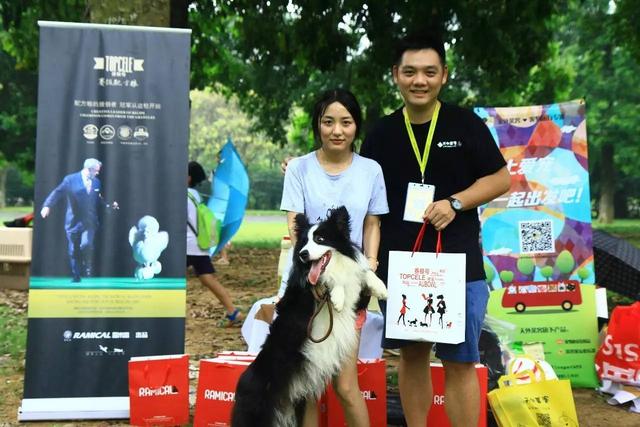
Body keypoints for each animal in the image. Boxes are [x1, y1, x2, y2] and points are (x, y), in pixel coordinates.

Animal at [232, 206, 388, 424]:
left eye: (320, 239)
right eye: (304, 242)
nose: (303, 254)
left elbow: (363, 272)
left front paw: (380, 288)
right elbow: (331, 282)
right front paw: (337, 297)